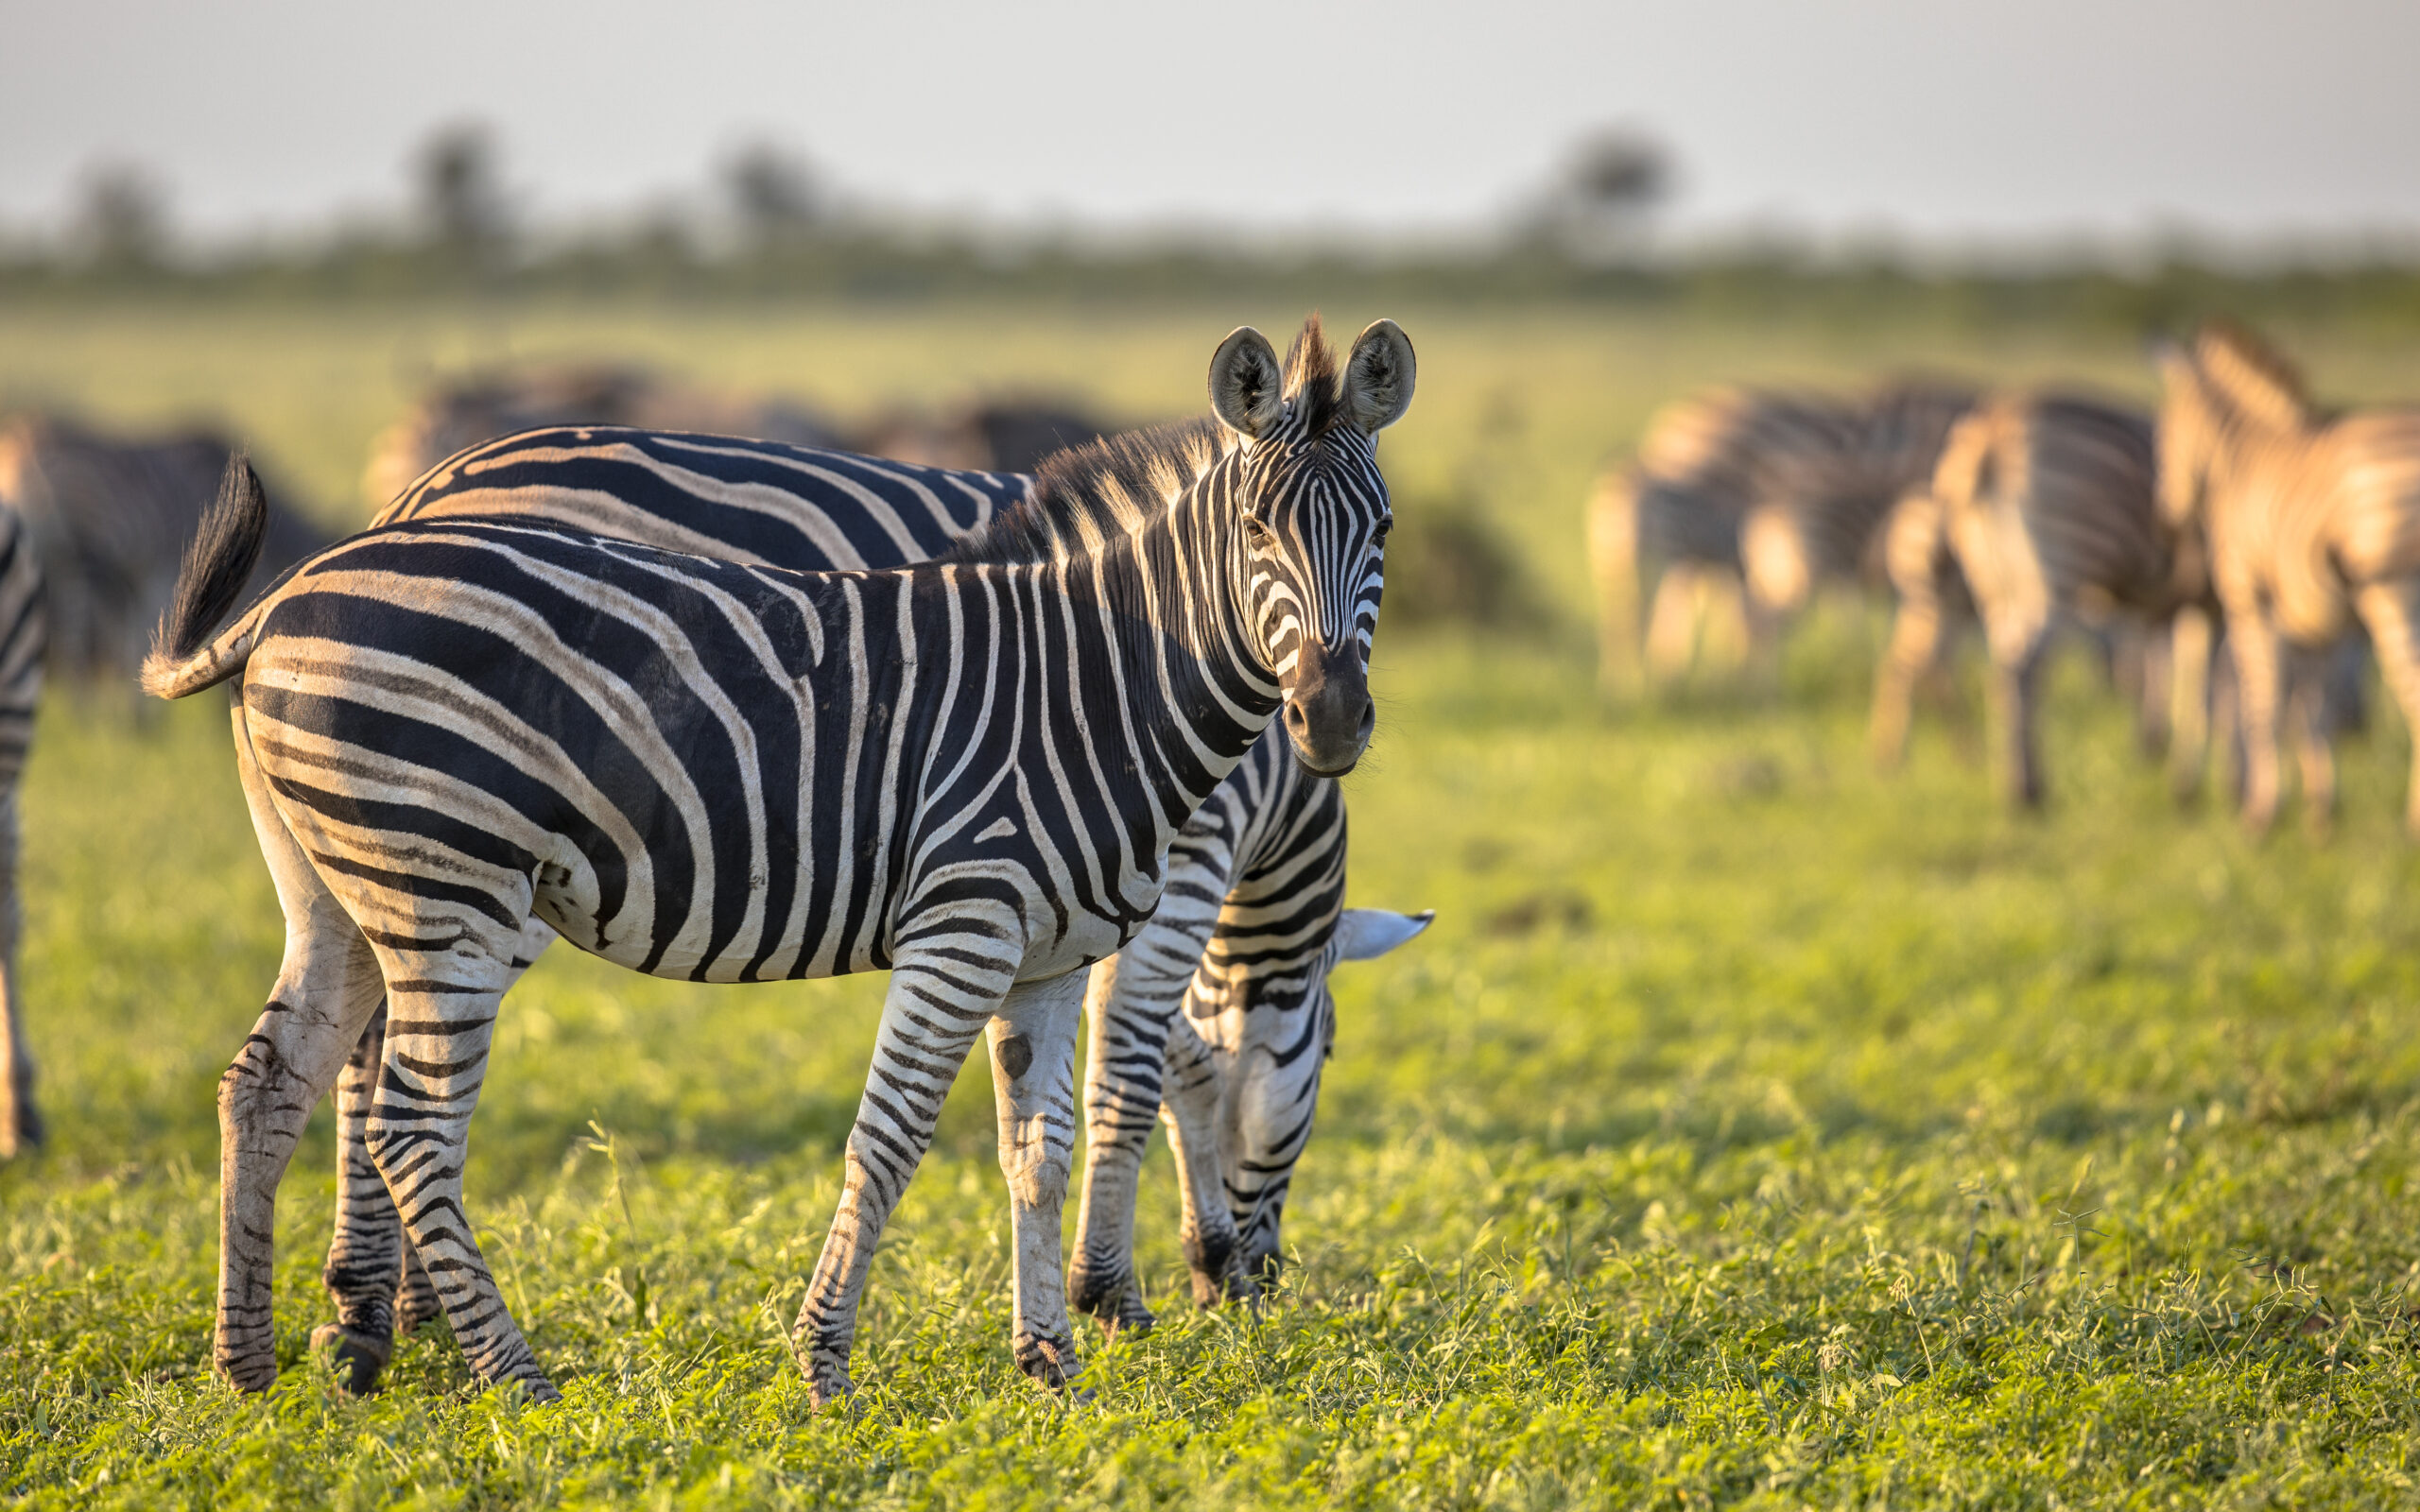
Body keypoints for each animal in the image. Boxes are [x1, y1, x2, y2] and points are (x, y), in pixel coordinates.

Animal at [142, 316, 1415, 1405]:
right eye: (1256, 535)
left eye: (1384, 533)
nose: (1333, 720)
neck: (1103, 676)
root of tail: (297, 589)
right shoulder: (974, 924)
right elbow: (914, 1133)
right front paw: (833, 1360)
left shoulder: (1047, 956)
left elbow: (1035, 1153)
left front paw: (1048, 1360)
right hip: (451, 891)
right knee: (407, 1124)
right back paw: (509, 1372)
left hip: (344, 891)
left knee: (271, 1080)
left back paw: (254, 1363)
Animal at [1869, 392, 2204, 807]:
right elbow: (2199, 678)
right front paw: (2188, 776)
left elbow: (2167, 669)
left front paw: (2158, 748)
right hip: (2050, 570)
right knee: (2007, 665)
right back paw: (2023, 788)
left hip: (1968, 596)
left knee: (1923, 664)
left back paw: (1906, 759)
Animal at [2157, 323, 2420, 835]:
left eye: (2166, 434)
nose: (2168, 517)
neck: (2242, 455)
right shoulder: (2310, 618)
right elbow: (2311, 708)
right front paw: (2321, 812)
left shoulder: (2246, 595)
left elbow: (2265, 697)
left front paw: (2261, 814)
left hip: (2392, 592)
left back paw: (2412, 824)